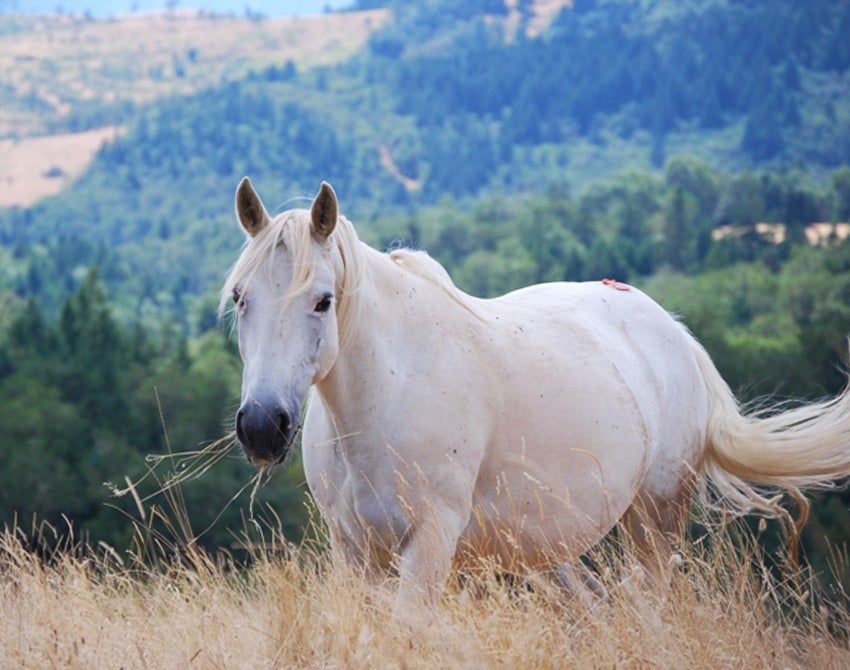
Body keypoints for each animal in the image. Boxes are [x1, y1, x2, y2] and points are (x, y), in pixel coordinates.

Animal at [222, 181, 848, 612]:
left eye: (323, 300)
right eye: (240, 298)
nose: (262, 426)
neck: (382, 396)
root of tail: (674, 333)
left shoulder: (428, 545)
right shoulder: (352, 552)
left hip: (654, 520)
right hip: (551, 550)